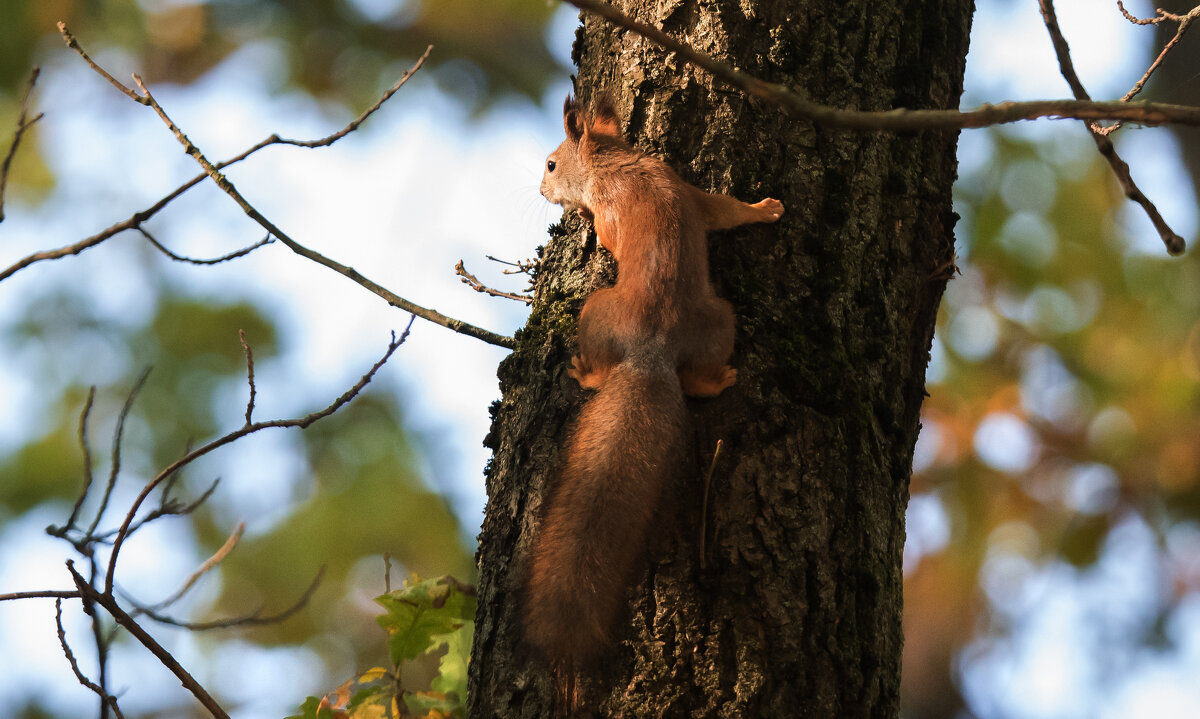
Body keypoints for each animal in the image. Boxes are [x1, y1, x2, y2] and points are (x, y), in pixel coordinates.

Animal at [528, 95, 787, 667]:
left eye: (552, 165)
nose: (540, 191)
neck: (617, 163)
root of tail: (654, 349)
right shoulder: (687, 190)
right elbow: (721, 210)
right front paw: (765, 209)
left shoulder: (611, 206)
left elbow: (606, 233)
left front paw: (582, 218)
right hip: (719, 320)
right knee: (701, 376)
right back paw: (720, 379)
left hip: (596, 310)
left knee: (600, 359)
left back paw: (584, 371)